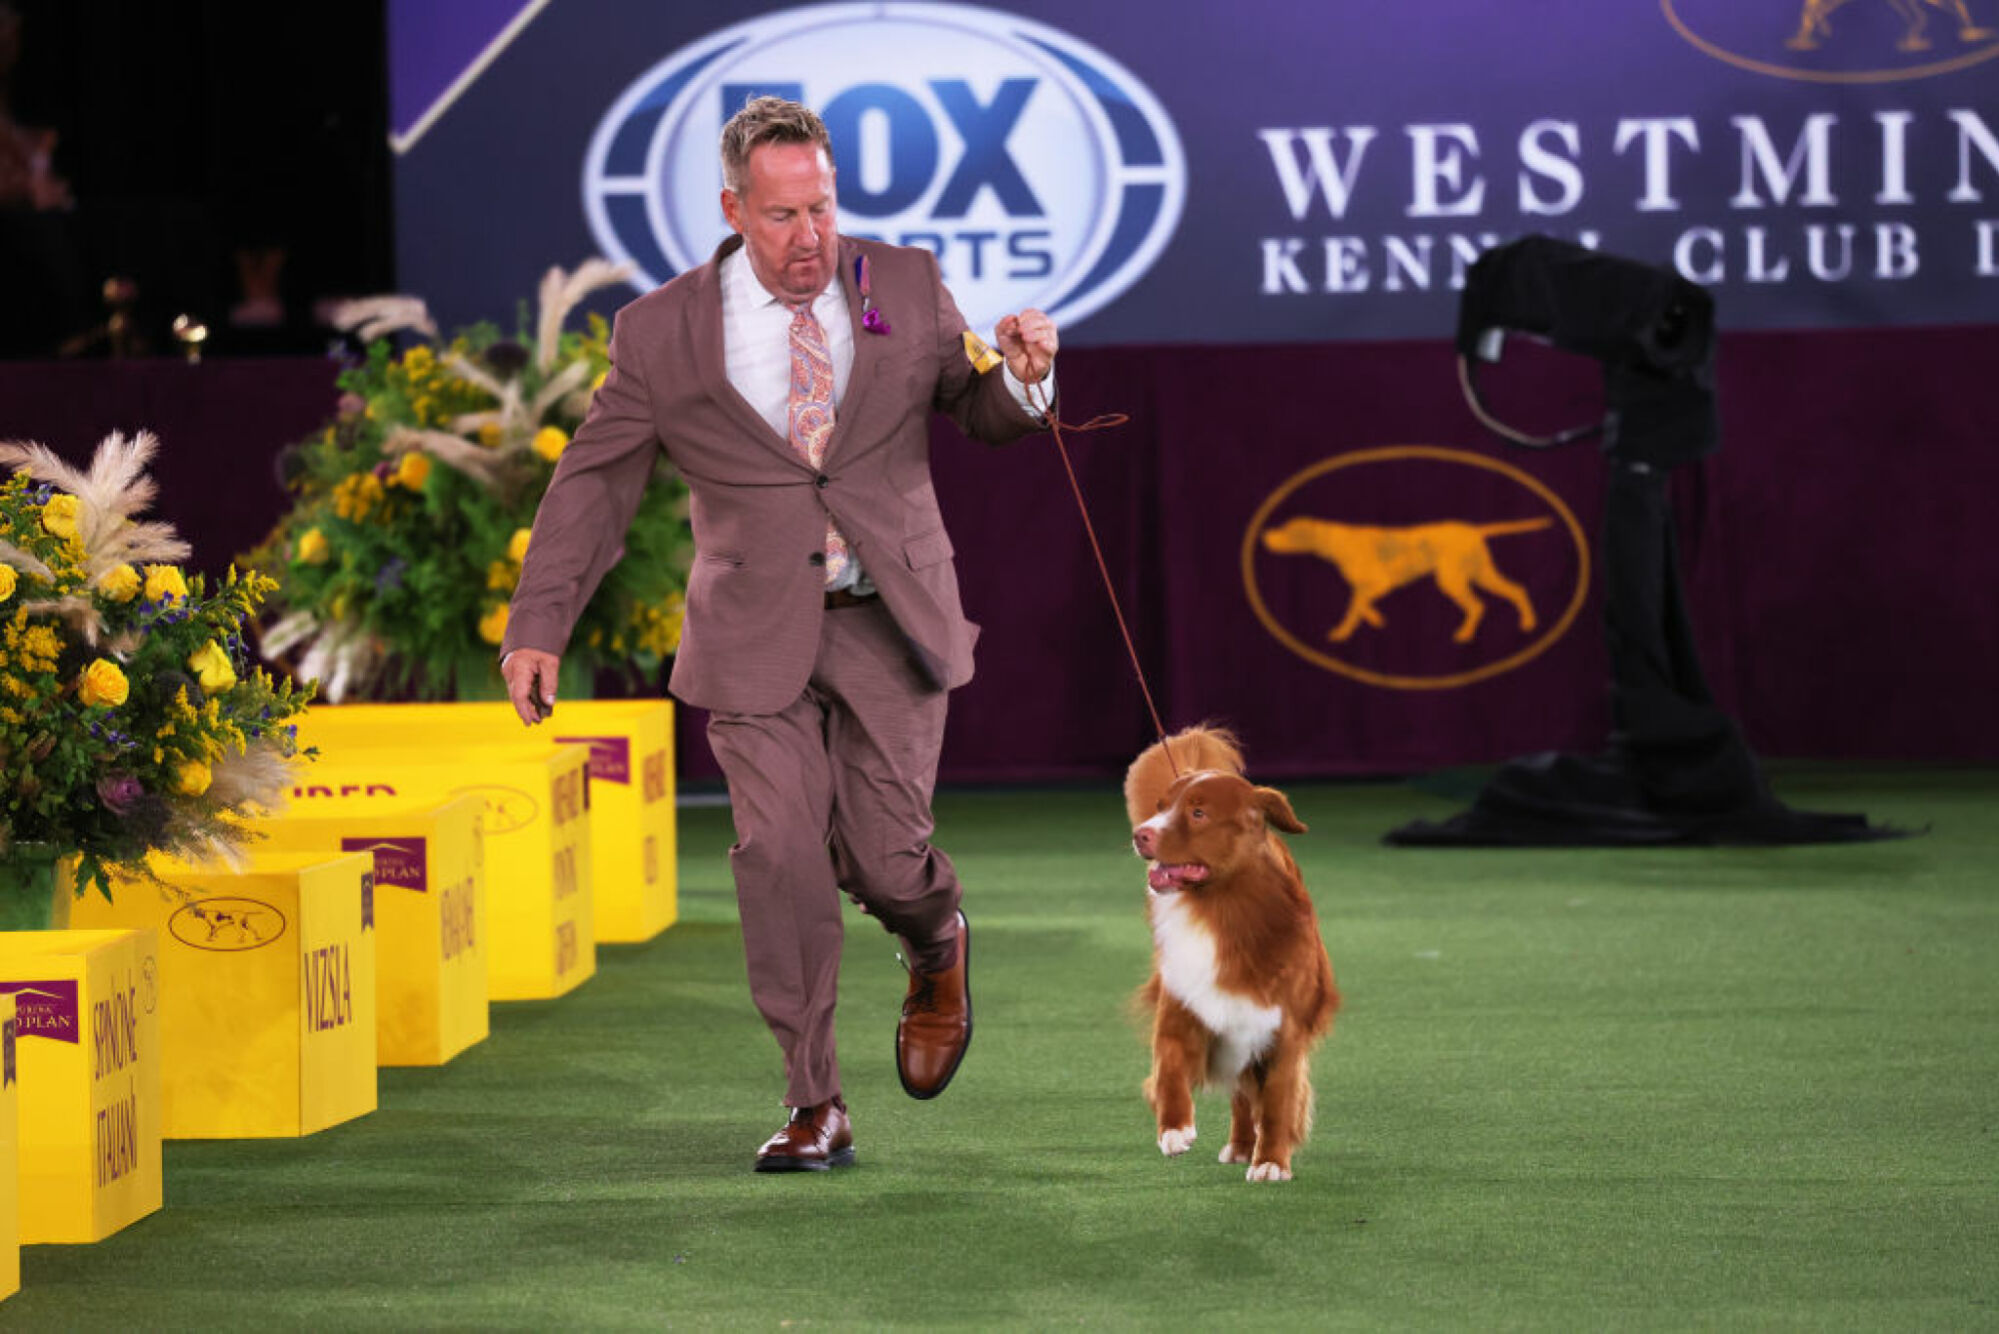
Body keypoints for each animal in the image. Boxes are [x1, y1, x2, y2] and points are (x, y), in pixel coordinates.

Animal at [1127, 724, 1343, 1184]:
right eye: (1160, 806)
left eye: (1198, 813)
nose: (1141, 834)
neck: (1220, 910)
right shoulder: (1183, 1005)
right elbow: (1169, 1069)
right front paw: (1175, 1130)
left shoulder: (1281, 1030)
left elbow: (1278, 1103)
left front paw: (1272, 1162)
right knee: (1241, 1095)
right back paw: (1241, 1145)